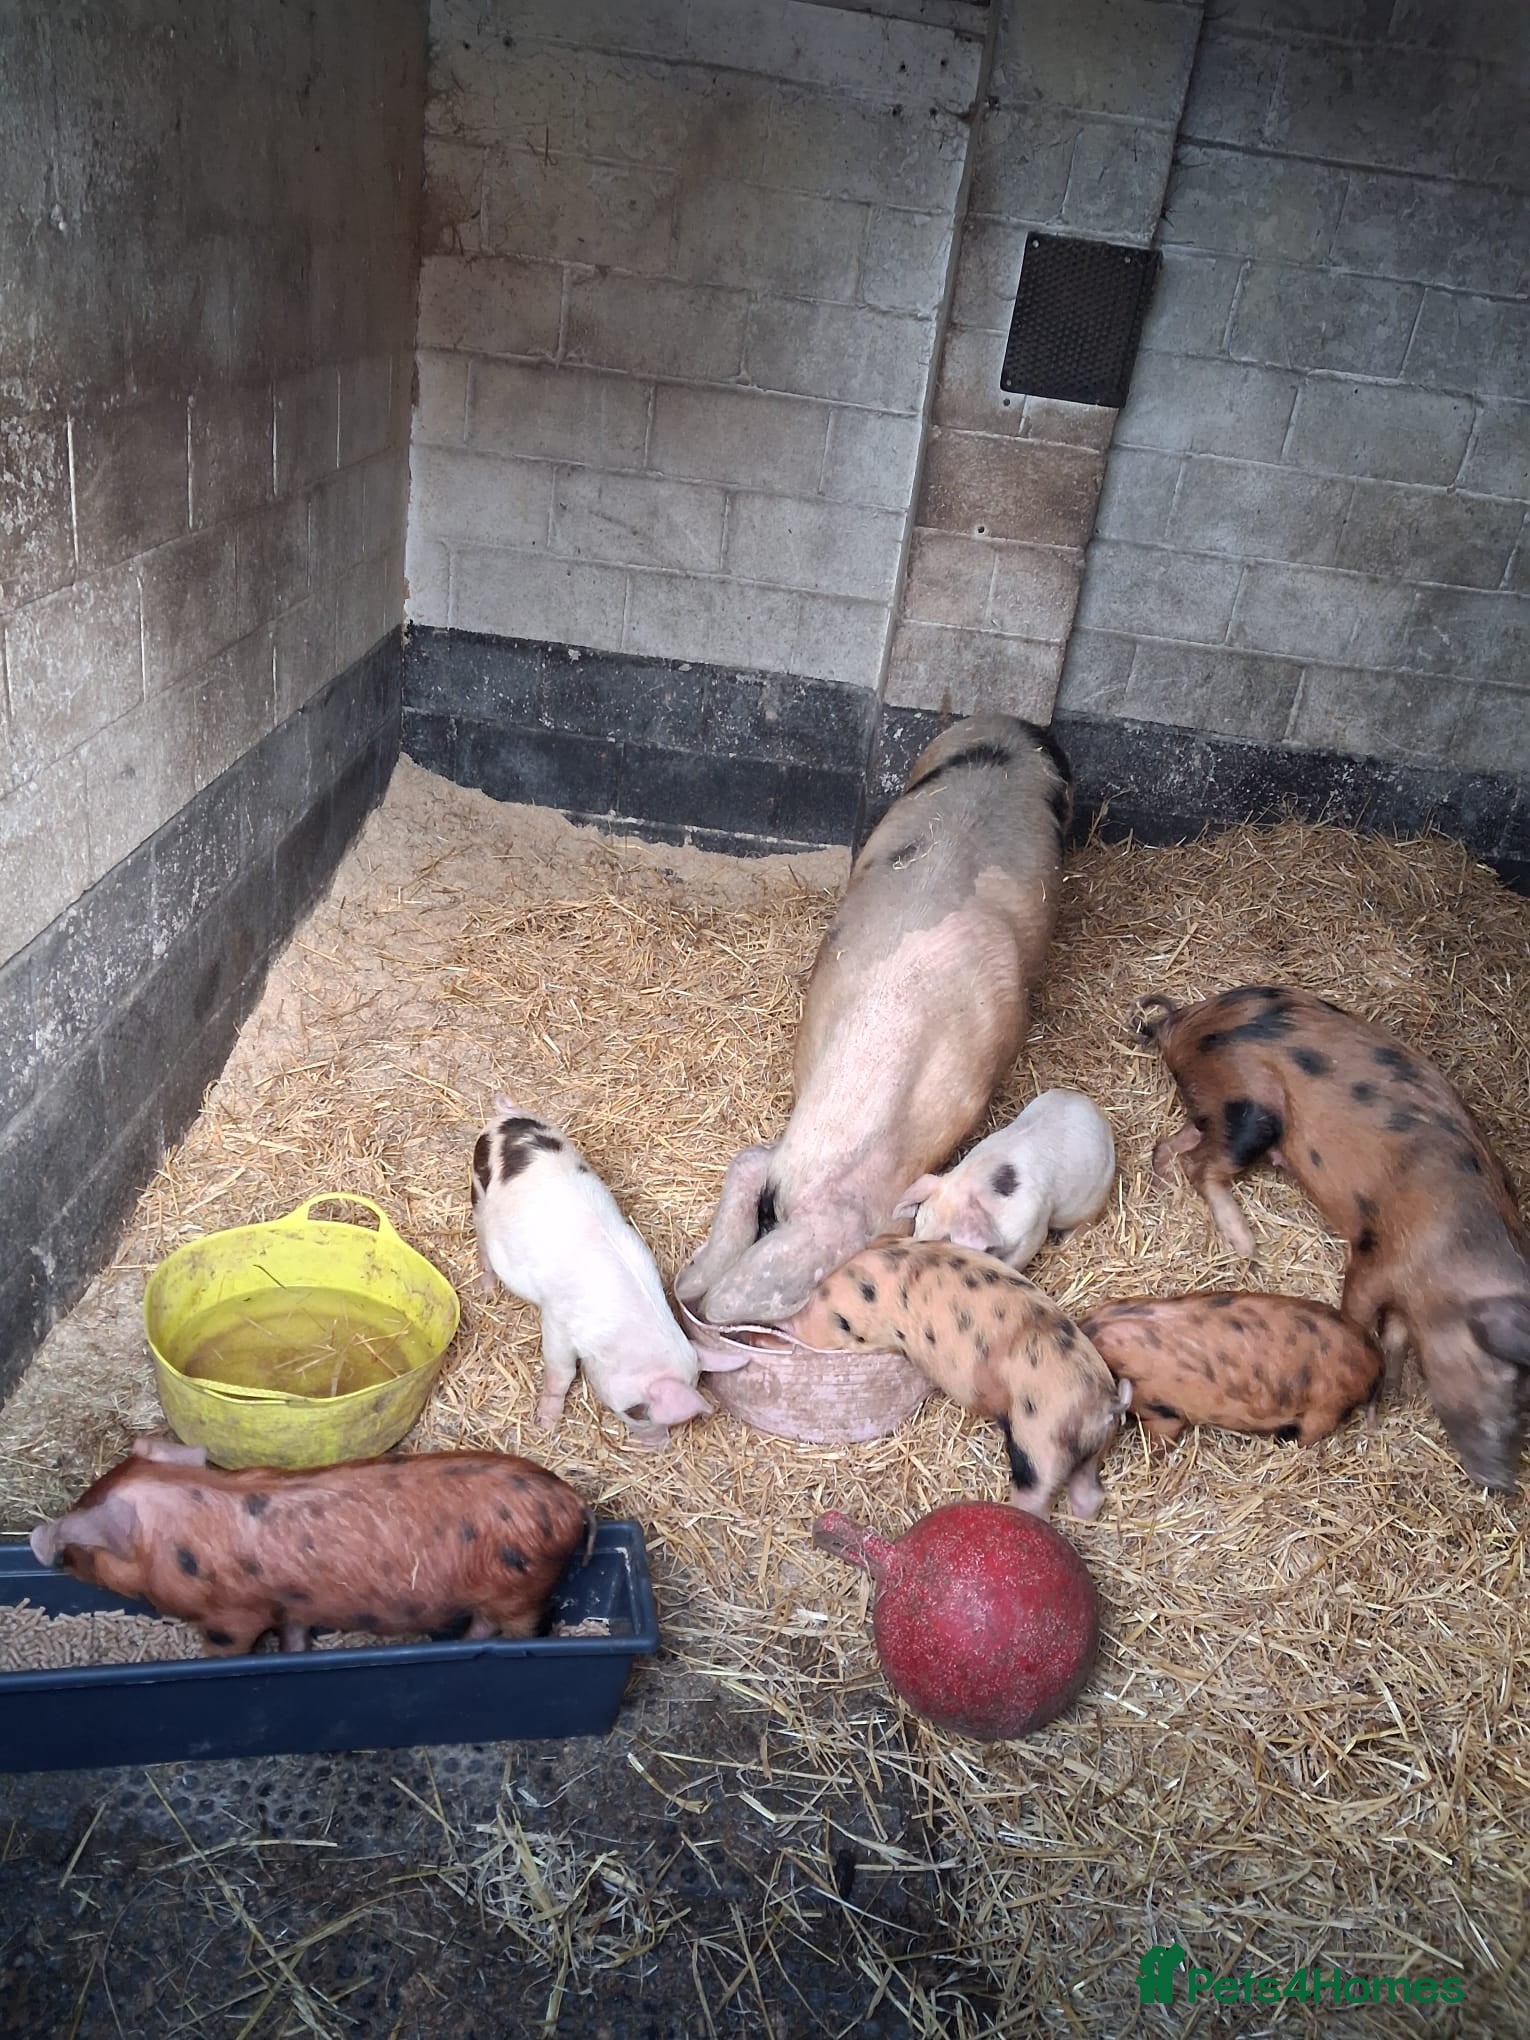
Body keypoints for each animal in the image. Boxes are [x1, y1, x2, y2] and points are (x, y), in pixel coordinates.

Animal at [29, 1436, 593, 1655]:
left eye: (81, 1547)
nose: (50, 1552)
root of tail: (574, 1501)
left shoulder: (230, 1617)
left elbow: (226, 1646)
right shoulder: (291, 1604)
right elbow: (295, 1639)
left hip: (522, 1592)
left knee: (519, 1626)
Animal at [472, 1096, 746, 1445]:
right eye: (636, 1411)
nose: (660, 1446)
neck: (618, 1334)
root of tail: (506, 1118)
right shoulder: (557, 1320)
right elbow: (561, 1372)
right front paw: (546, 1423)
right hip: (478, 1193)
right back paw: (487, 1288)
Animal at [786, 1238, 1130, 1519]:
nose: (791, 1323)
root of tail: (1106, 1403)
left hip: (1038, 1443)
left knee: (1037, 1491)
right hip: (1096, 1447)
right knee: (1091, 1493)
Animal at [1078, 1291, 1383, 1447]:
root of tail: (1376, 1359)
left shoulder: (1162, 1408)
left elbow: (1164, 1434)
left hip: (1326, 1405)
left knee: (1312, 1432)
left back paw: (1284, 1439)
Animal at [1136, 984, 1530, 1492]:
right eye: (1500, 1376)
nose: (1502, 1482)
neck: (1451, 1260)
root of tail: (1182, 1021)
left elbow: (1395, 1338)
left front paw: (1390, 1396)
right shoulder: (1375, 1255)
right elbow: (1360, 1317)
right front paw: (1372, 1402)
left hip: (1218, 1109)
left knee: (1174, 1145)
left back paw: (1165, 1183)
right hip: (1250, 1109)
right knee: (1201, 1165)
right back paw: (1247, 1247)